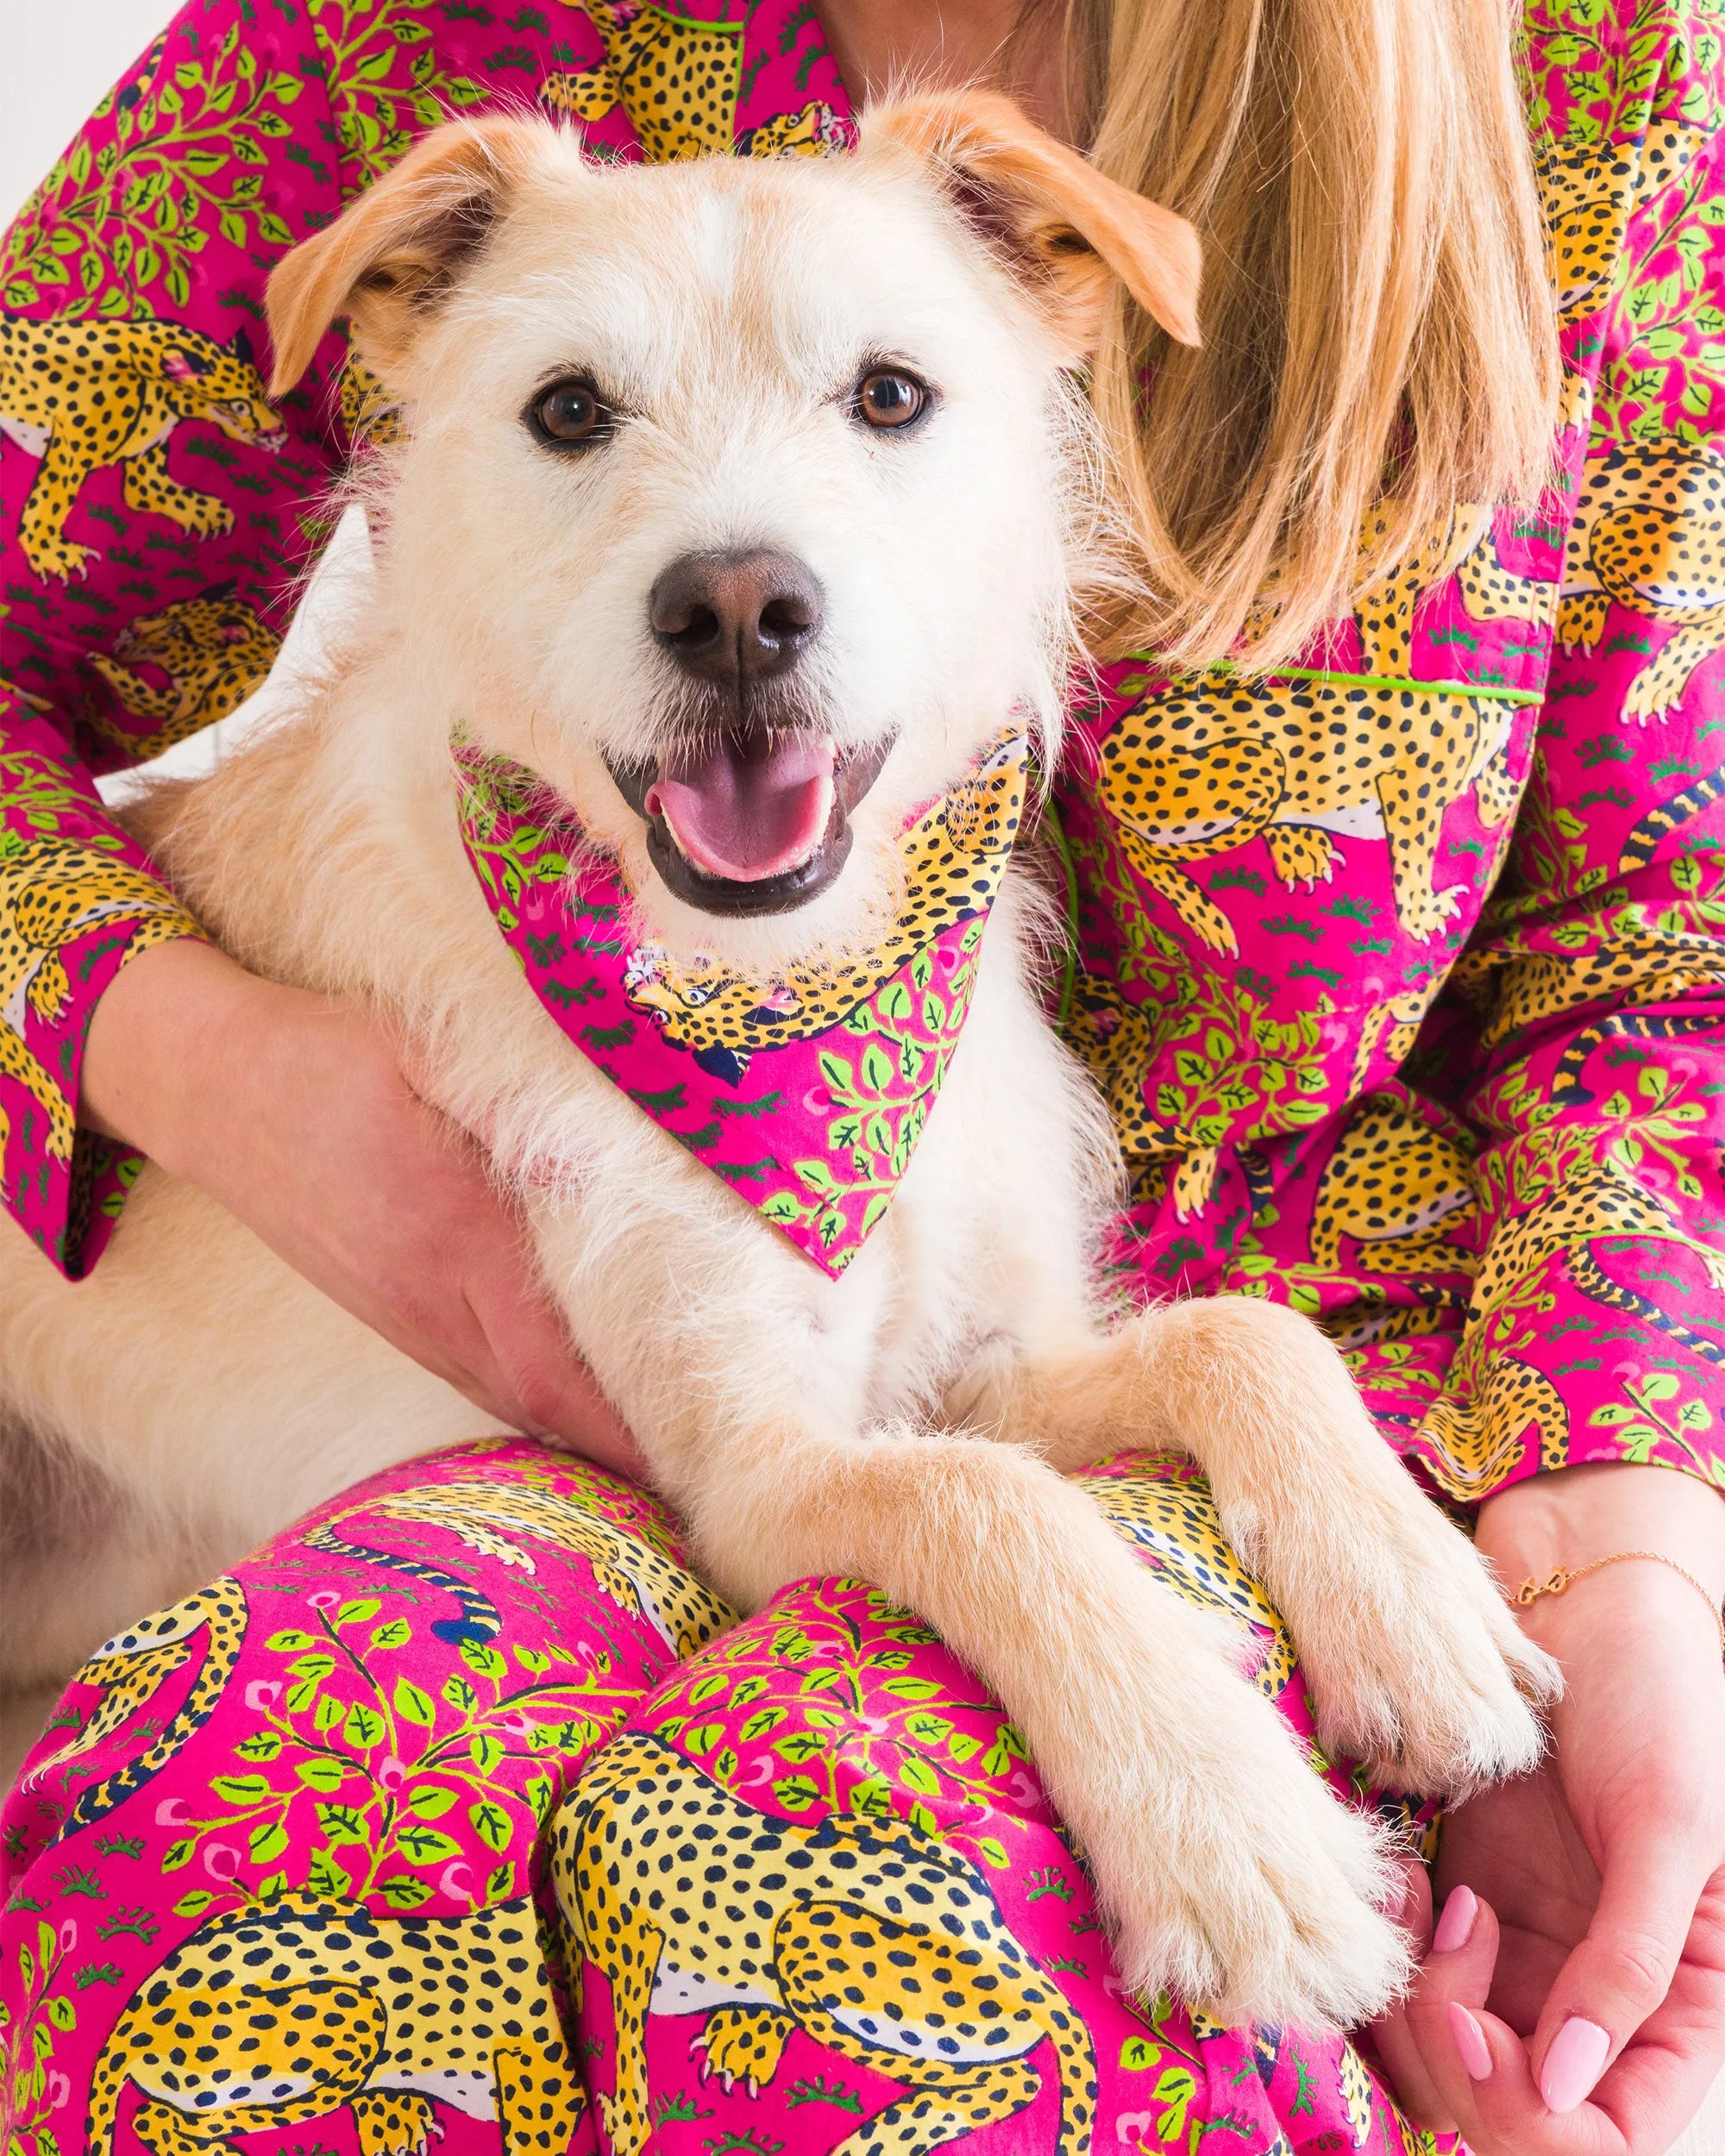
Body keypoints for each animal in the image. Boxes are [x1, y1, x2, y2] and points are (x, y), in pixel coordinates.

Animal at [0, 92, 1552, 2027]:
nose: (738, 607)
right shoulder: (756, 1466)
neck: (793, 995)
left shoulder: (983, 1356)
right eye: (568, 410)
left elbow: (1237, 1335)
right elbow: (995, 1505)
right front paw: (1231, 1832)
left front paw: (1413, 1604)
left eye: (890, 394)